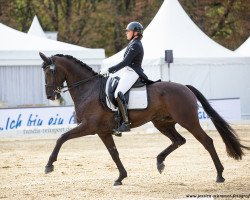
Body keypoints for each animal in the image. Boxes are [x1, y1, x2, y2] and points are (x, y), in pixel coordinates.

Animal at [38, 52, 248, 186]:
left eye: (50, 71)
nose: (49, 95)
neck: (88, 89)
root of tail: (185, 87)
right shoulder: (102, 131)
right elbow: (114, 153)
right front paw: (121, 177)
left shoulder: (89, 126)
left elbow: (62, 138)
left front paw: (49, 165)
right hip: (162, 123)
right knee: (179, 140)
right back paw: (160, 162)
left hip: (187, 120)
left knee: (207, 141)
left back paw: (220, 175)